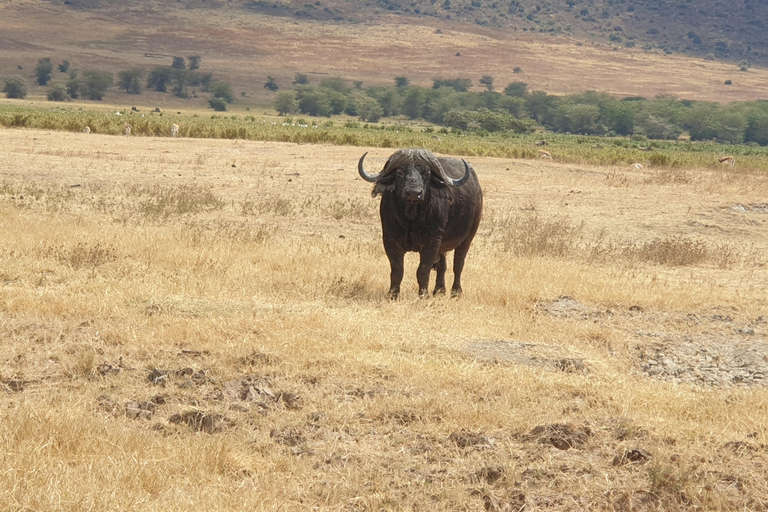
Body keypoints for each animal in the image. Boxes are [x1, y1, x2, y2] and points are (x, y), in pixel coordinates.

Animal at [358, 148, 480, 298]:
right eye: (400, 172)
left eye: (427, 173)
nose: (413, 193)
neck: (411, 219)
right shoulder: (389, 240)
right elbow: (397, 270)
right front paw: (393, 294)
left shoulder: (433, 242)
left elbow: (423, 270)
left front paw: (423, 295)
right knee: (442, 265)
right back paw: (439, 290)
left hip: (468, 236)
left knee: (458, 264)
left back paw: (456, 292)